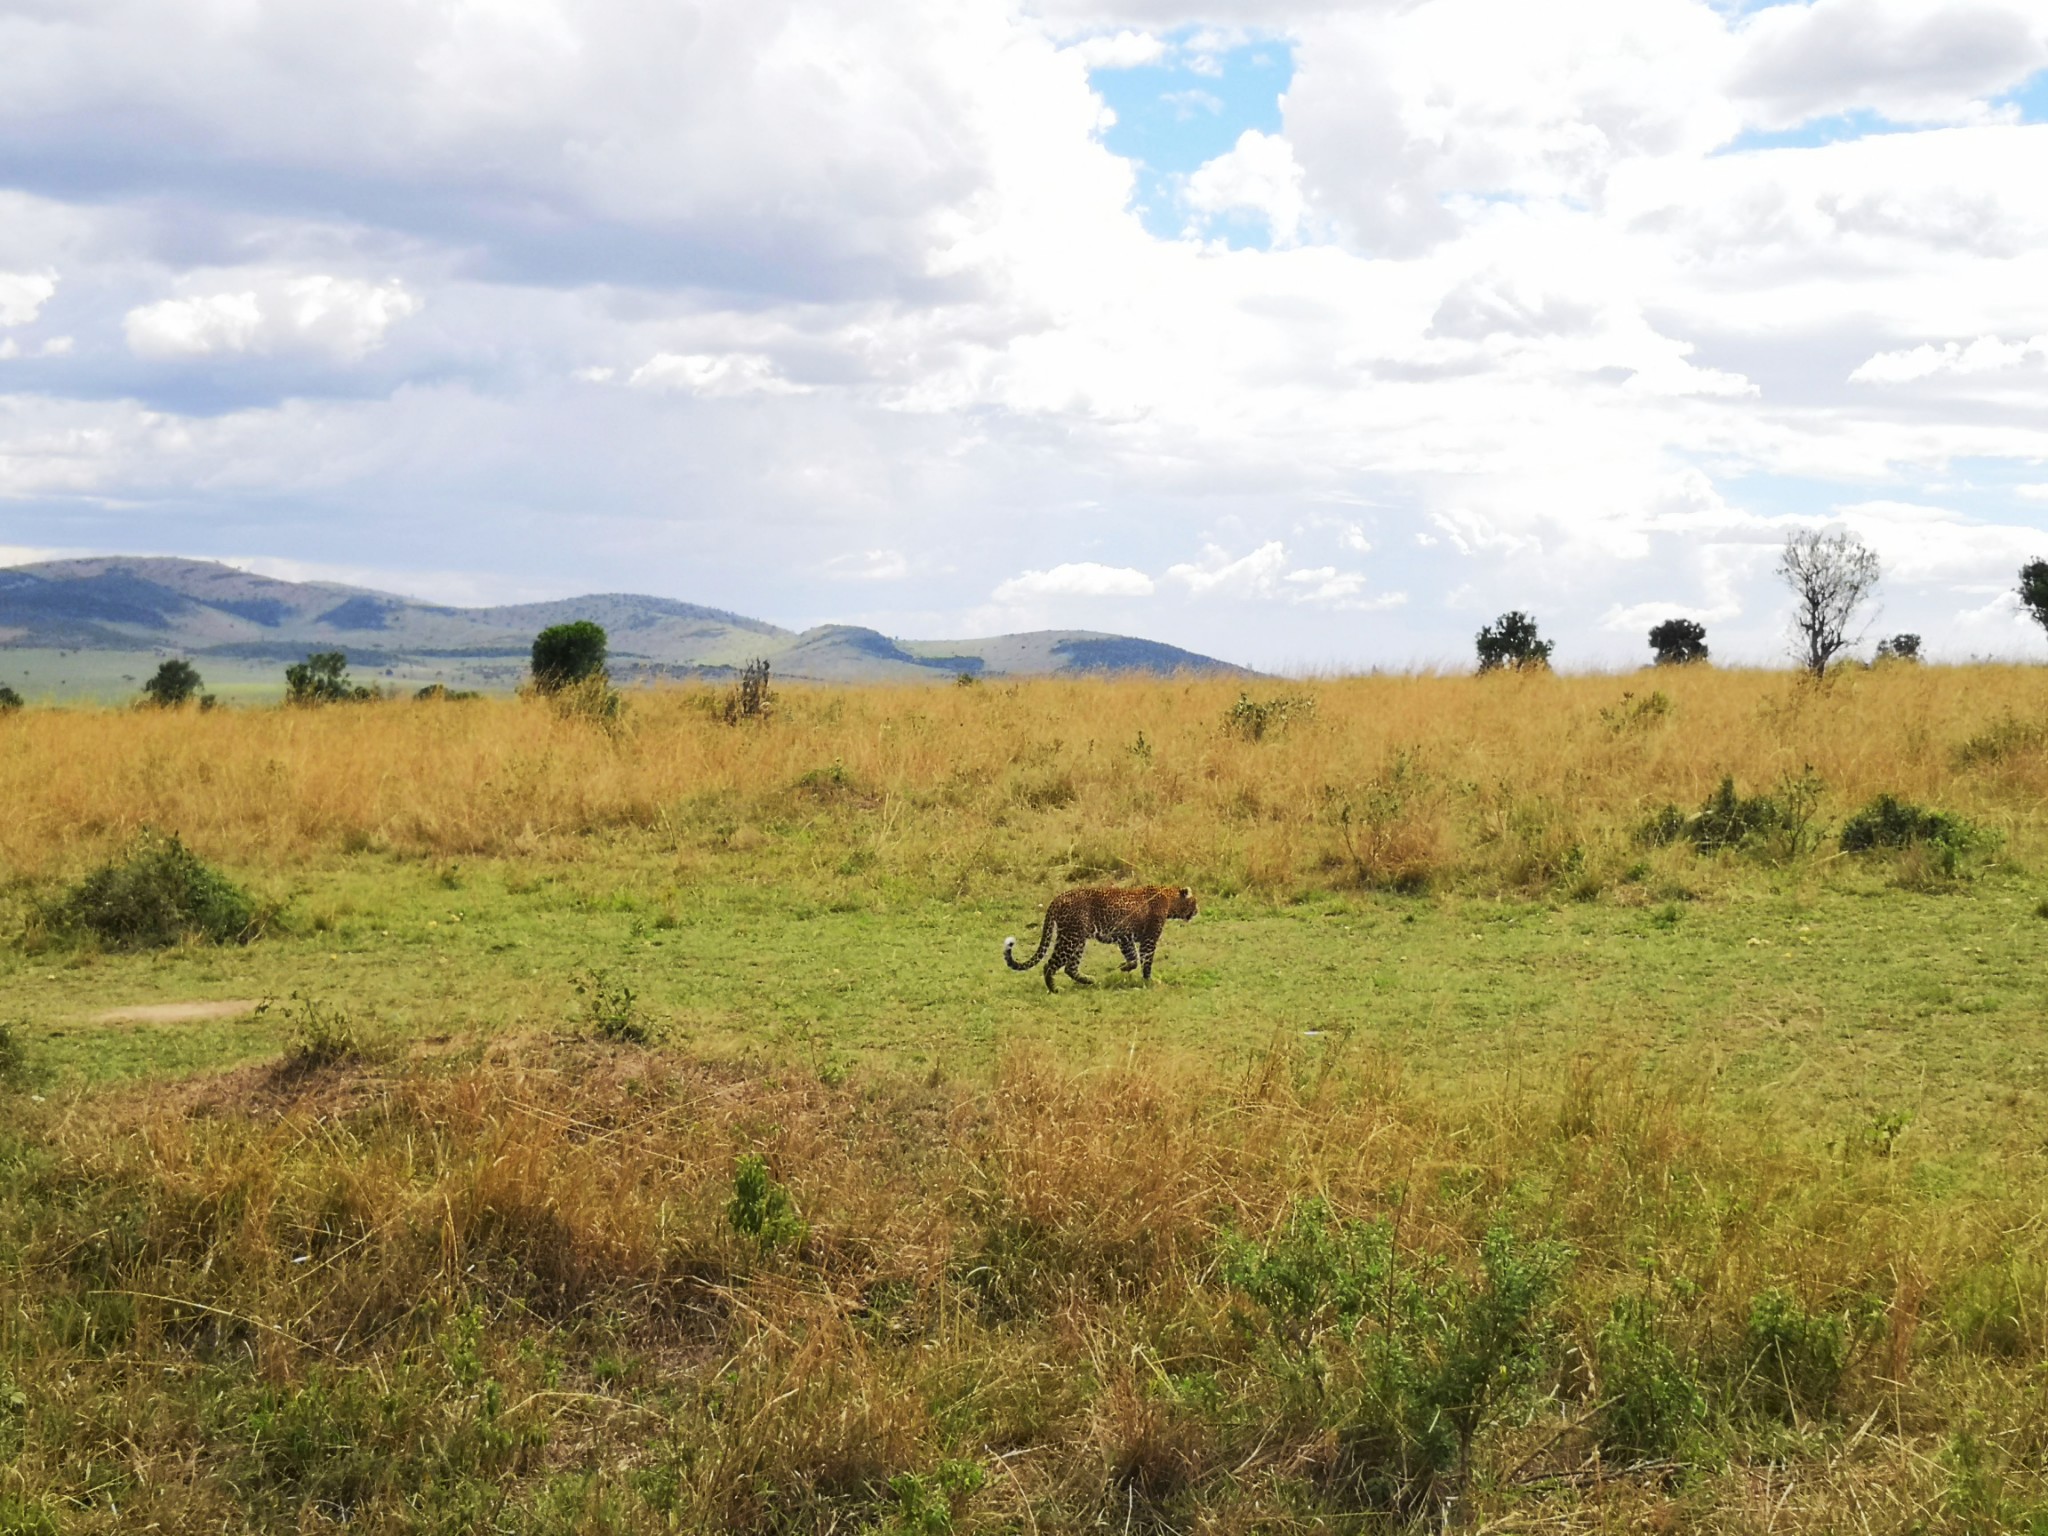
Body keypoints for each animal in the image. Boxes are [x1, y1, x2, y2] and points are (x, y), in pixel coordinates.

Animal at [999, 888, 1196, 999]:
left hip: (1078, 939)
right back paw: (1055, 989)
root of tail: (1057, 898)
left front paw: (1123, 967)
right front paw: (1150, 981)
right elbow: (1146, 962)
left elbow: (1133, 958)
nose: (1197, 910)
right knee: (1050, 965)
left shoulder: (1124, 937)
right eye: (1194, 902)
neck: (1169, 898)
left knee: (1070, 967)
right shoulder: (1149, 939)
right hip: (1070, 937)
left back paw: (1088, 981)